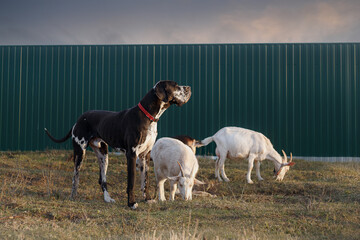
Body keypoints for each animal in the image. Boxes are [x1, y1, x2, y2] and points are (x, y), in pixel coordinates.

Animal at [44, 80, 191, 208]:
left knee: (102, 179)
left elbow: (145, 181)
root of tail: (79, 119)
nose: (189, 87)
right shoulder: (132, 155)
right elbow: (131, 182)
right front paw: (131, 203)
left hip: (103, 155)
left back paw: (107, 198)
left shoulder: (145, 156)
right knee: (76, 176)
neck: (148, 117)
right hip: (80, 152)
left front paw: (148, 199)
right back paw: (73, 196)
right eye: (175, 85)